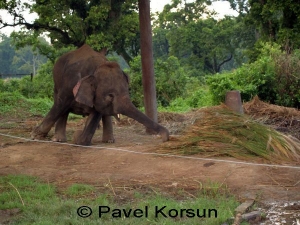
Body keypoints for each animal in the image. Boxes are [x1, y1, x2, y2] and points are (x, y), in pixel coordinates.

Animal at [31, 44, 171, 146]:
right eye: (110, 95)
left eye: (128, 91)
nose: (166, 137)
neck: (96, 67)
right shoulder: (69, 84)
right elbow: (60, 105)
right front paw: (35, 136)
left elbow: (96, 114)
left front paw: (79, 138)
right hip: (56, 81)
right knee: (61, 107)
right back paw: (58, 140)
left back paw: (109, 141)